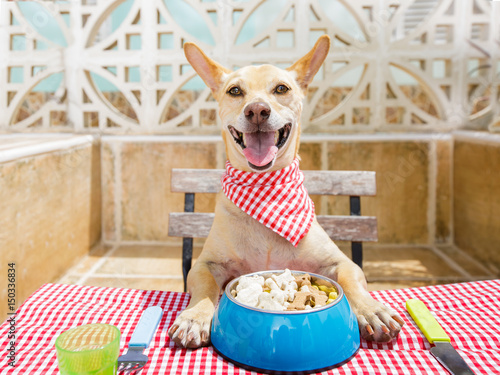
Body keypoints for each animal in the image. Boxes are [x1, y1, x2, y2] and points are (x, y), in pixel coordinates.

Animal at [170, 36, 404, 350]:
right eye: (235, 91)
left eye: (281, 88)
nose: (257, 110)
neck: (265, 190)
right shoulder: (206, 265)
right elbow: (206, 286)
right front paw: (195, 316)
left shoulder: (341, 262)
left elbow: (350, 280)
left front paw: (372, 310)